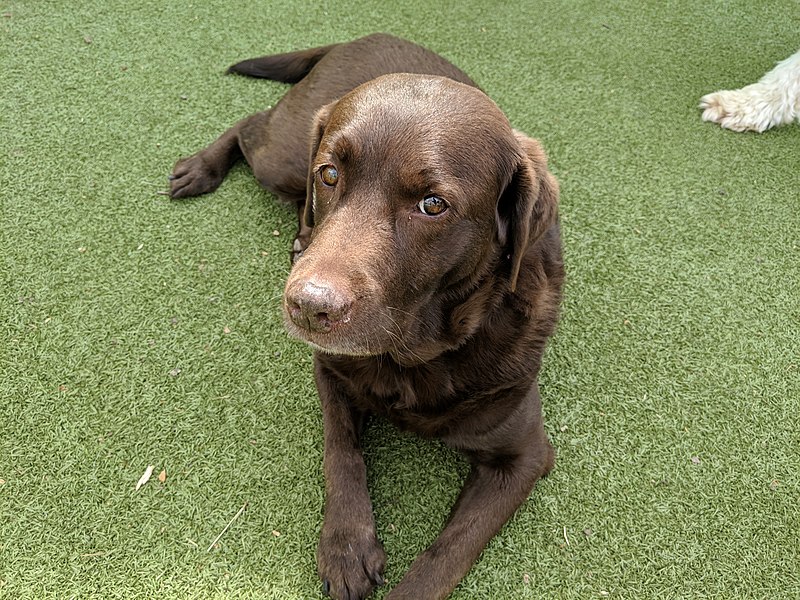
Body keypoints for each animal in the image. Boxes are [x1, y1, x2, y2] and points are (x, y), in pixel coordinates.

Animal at [169, 32, 564, 600]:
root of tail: (363, 36)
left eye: (433, 204)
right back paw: (201, 169)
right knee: (250, 125)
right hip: (285, 158)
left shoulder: (523, 457)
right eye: (331, 174)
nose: (309, 306)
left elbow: (446, 556)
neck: (415, 357)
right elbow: (341, 451)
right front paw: (346, 546)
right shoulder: (329, 370)